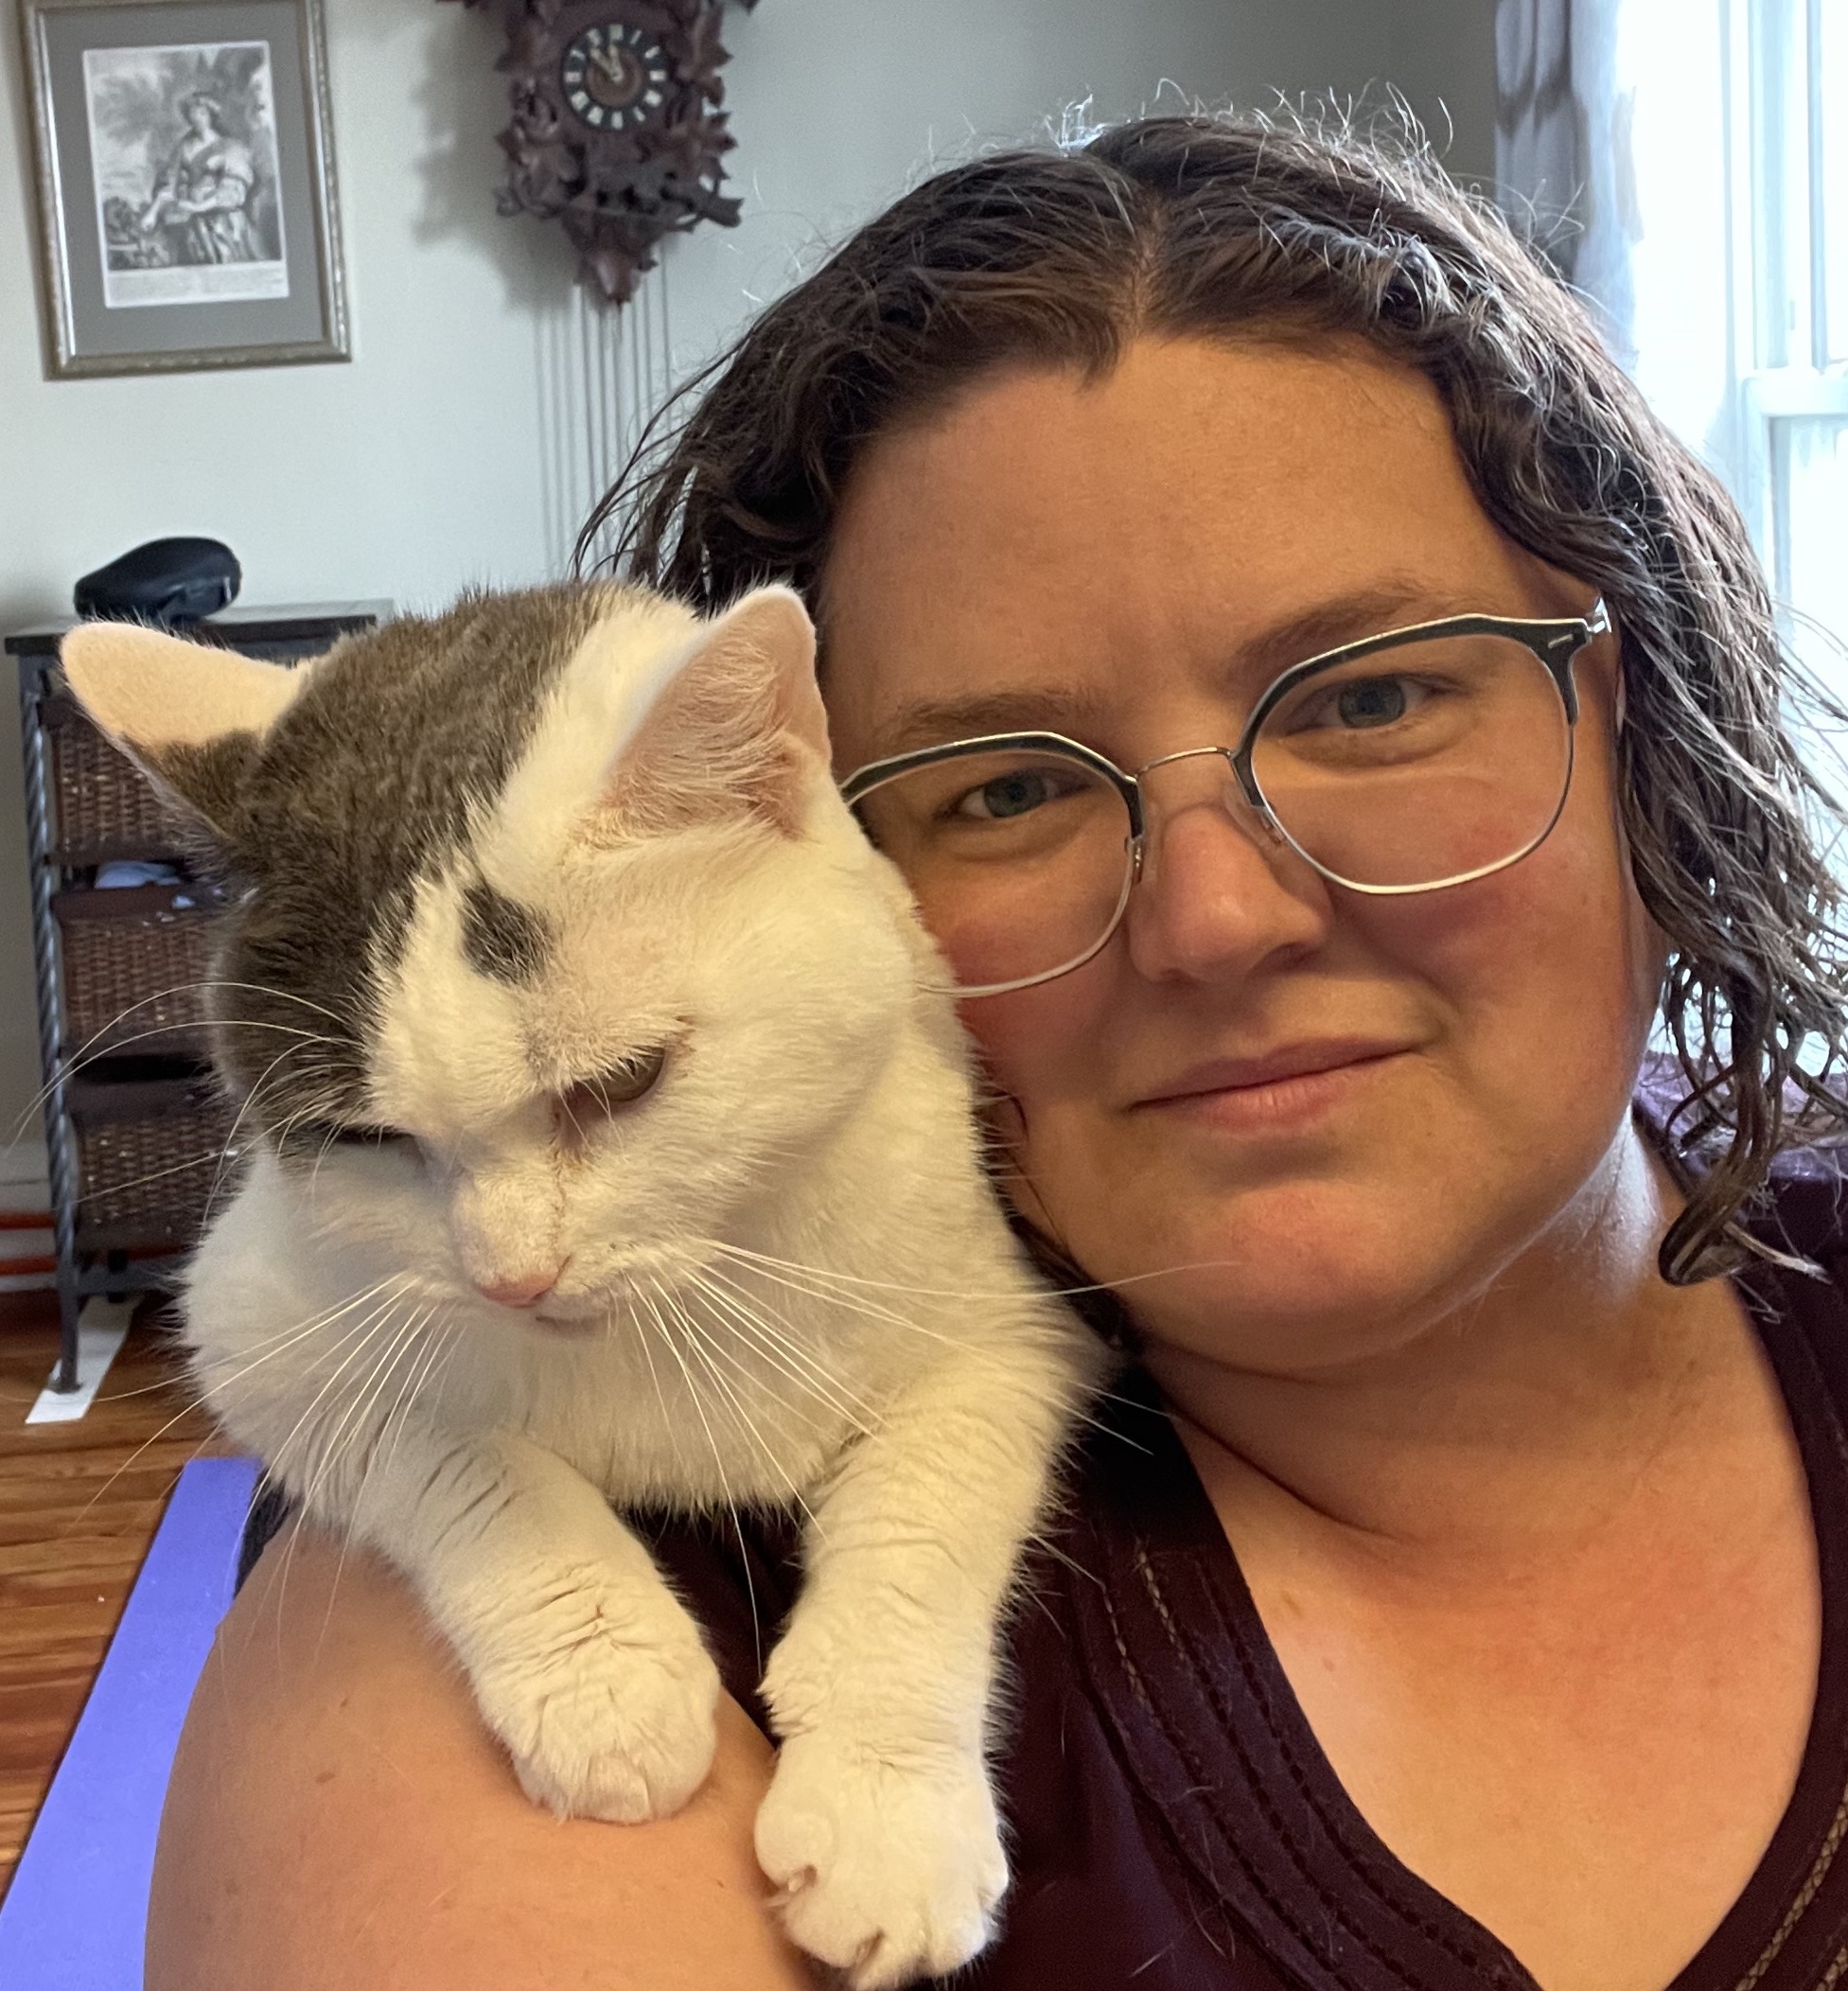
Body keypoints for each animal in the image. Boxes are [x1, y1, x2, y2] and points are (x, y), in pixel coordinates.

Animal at [68, 581, 1115, 1982]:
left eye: (621, 1083)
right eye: (369, 1139)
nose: (513, 1277)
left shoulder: (1006, 1328)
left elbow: (920, 1525)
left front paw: (889, 1815)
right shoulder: (252, 1327)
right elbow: (459, 1458)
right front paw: (610, 1683)